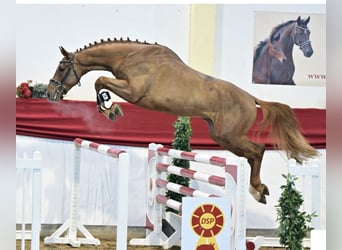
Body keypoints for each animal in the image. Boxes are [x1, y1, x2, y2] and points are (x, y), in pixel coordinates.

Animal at [47, 38, 318, 204]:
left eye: (61, 67)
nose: (50, 94)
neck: (132, 56)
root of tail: (251, 98)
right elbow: (100, 82)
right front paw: (109, 108)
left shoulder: (133, 92)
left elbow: (99, 81)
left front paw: (111, 109)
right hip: (222, 137)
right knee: (253, 153)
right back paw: (258, 190)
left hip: (229, 136)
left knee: (257, 150)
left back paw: (257, 190)